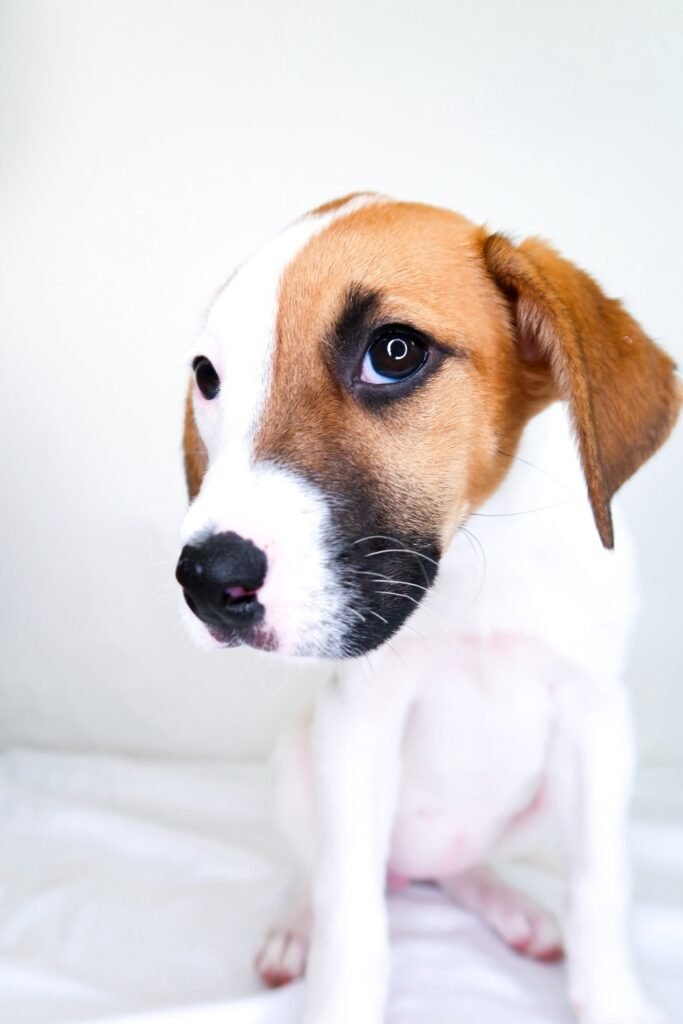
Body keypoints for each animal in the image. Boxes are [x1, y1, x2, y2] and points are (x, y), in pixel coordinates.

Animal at [175, 194, 680, 1024]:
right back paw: (295, 927)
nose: (208, 580)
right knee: (323, 875)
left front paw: (612, 999)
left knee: (458, 869)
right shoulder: (359, 726)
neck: (475, 561)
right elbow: (351, 919)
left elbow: (599, 894)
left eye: (395, 352)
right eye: (208, 376)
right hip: (300, 760)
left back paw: (506, 904)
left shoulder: (595, 724)